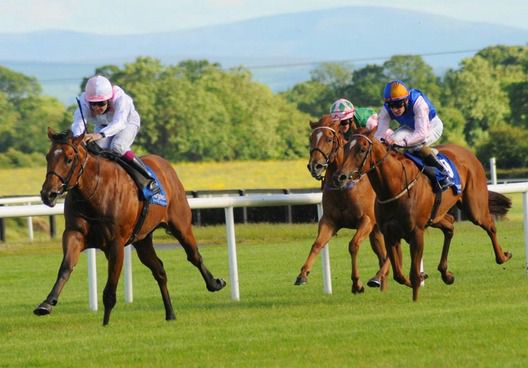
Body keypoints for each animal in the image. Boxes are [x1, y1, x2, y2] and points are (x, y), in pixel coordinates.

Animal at [36, 129, 226, 324]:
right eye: (48, 157)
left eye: (68, 159)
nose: (48, 194)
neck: (94, 191)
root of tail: (164, 164)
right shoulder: (75, 234)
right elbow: (66, 267)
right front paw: (47, 303)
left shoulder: (116, 243)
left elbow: (110, 290)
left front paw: (105, 324)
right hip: (142, 239)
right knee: (159, 270)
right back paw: (170, 313)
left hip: (181, 225)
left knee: (194, 256)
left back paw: (214, 283)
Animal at [294, 115, 390, 294]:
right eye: (311, 138)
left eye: (329, 139)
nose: (315, 166)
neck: (342, 186)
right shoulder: (330, 220)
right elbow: (317, 244)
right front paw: (302, 275)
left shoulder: (366, 220)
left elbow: (353, 245)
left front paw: (357, 283)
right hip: (377, 231)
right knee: (384, 254)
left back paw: (378, 278)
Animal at [334, 128, 512, 300]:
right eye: (345, 147)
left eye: (362, 149)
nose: (341, 176)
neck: (395, 186)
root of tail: (467, 152)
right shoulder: (390, 233)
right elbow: (399, 274)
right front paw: (420, 277)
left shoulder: (416, 232)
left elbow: (412, 273)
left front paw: (416, 298)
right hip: (436, 216)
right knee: (450, 225)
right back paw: (446, 274)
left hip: (475, 208)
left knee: (490, 226)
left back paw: (503, 256)